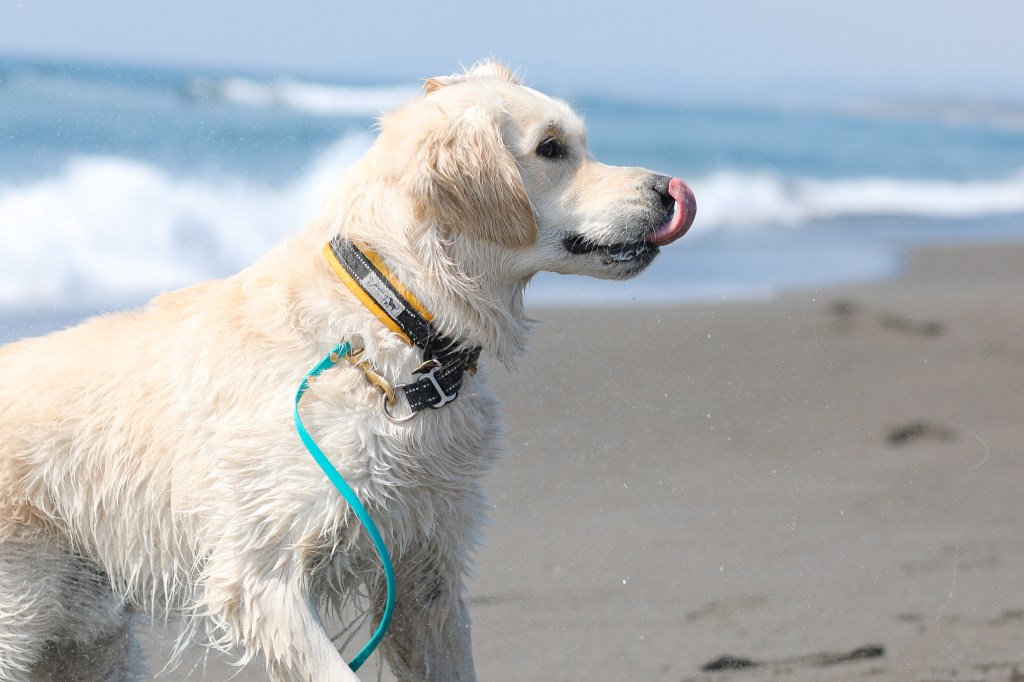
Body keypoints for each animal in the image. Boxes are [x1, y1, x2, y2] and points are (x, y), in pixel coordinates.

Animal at [0, 61, 695, 681]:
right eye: (551, 148)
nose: (669, 188)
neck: (386, 329)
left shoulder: (425, 571)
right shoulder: (261, 573)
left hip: (88, 641)